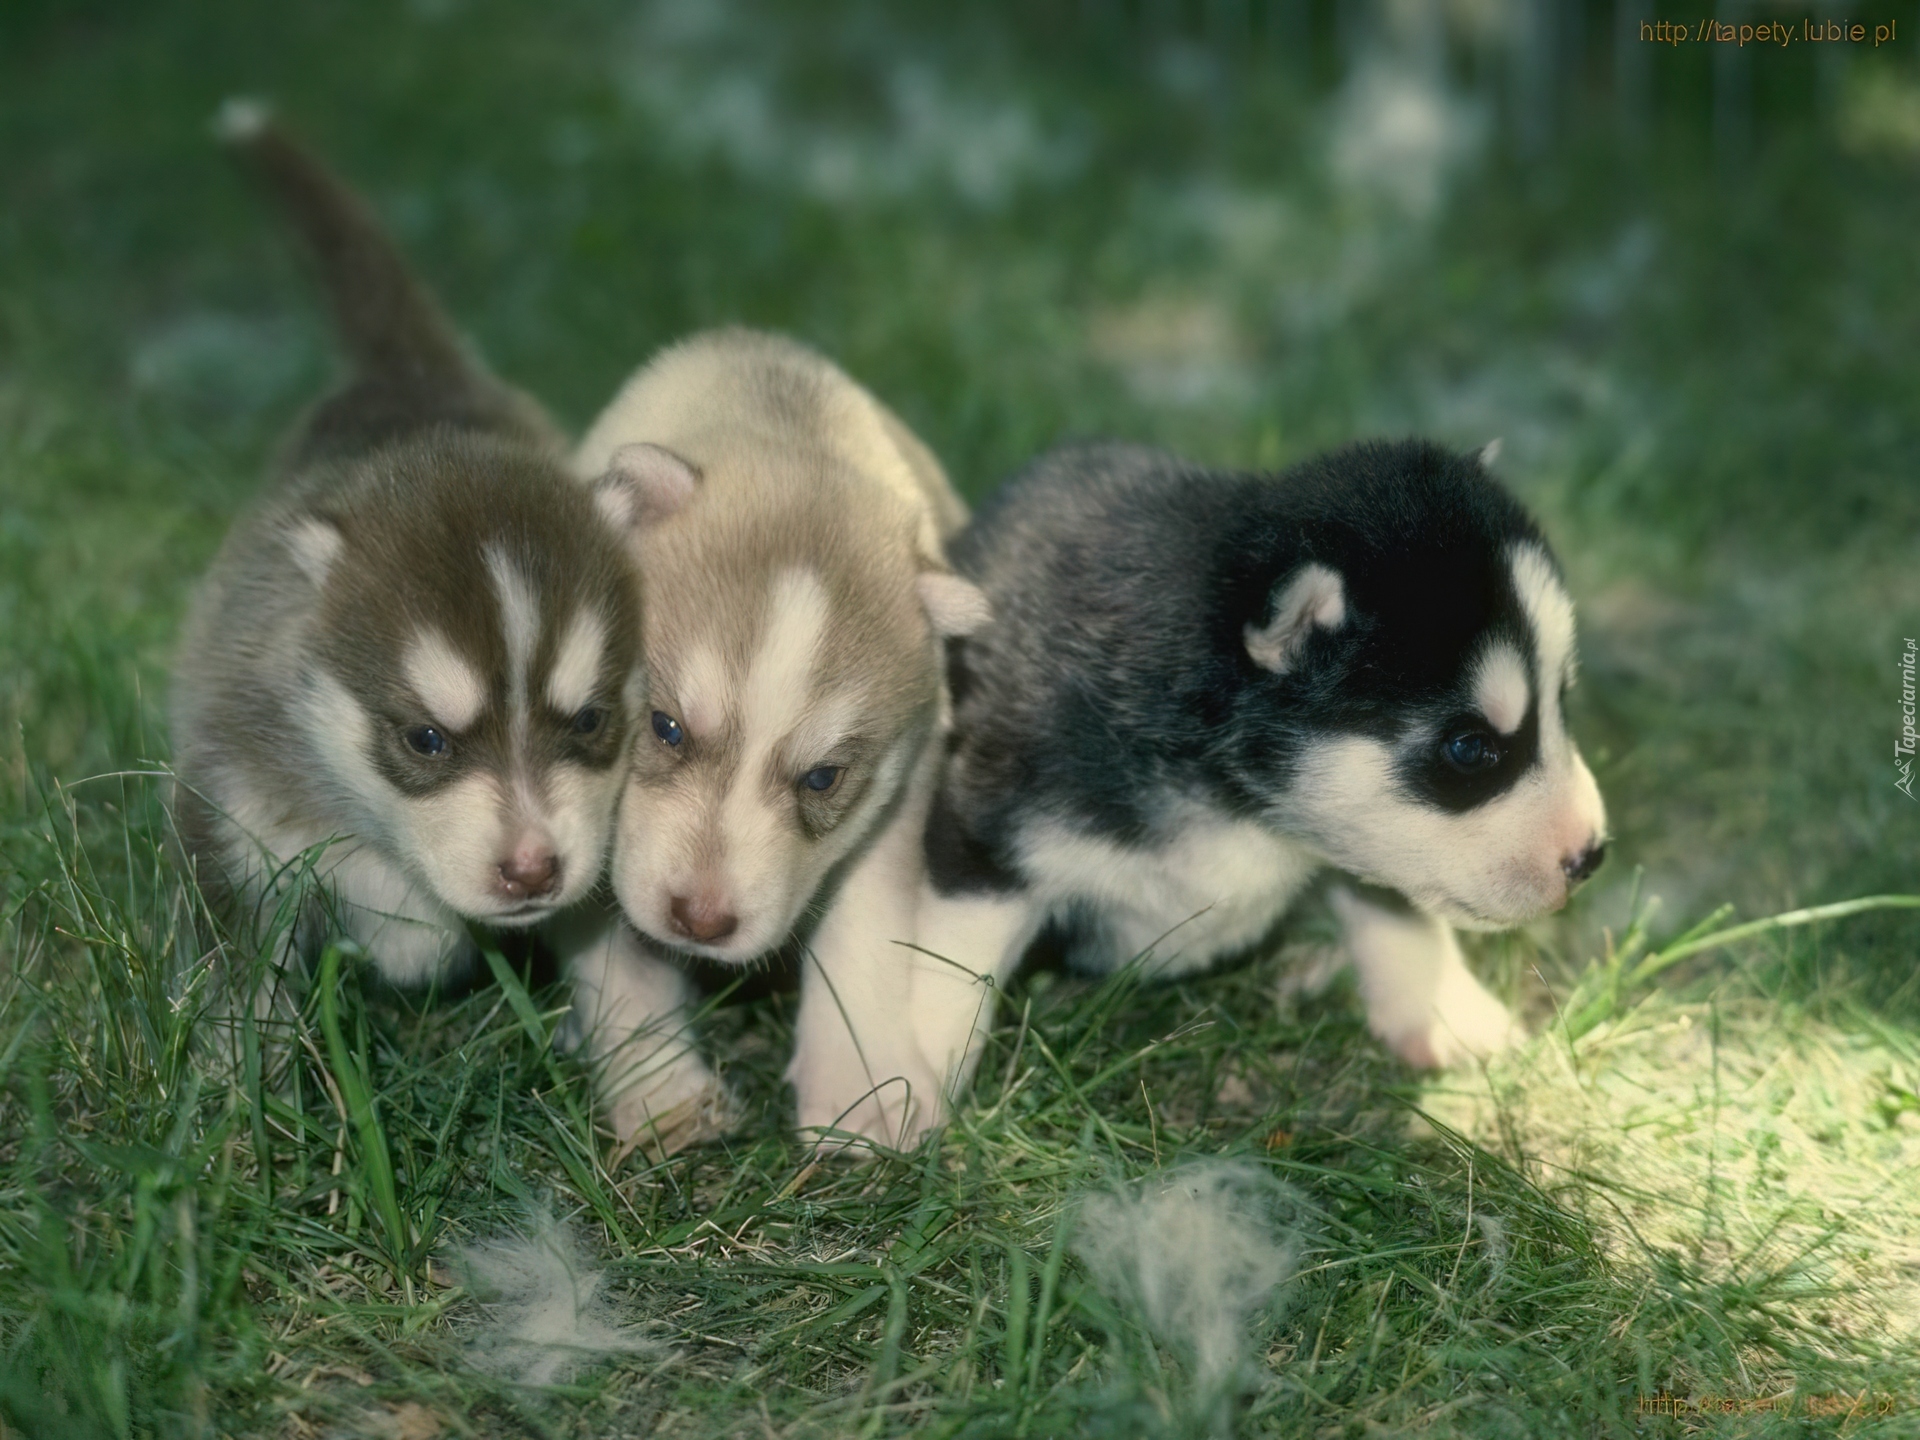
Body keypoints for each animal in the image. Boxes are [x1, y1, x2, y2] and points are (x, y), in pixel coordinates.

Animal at [174, 104, 652, 1006]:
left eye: (591, 720)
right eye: (426, 740)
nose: (533, 869)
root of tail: (411, 371)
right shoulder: (236, 831)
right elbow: (236, 1001)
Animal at [810, 439, 1605, 1152]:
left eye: (1565, 702)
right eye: (1469, 750)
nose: (1593, 856)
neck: (1235, 807)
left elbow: (1395, 904)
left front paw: (1442, 1010)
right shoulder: (988, 835)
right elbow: (952, 968)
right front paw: (905, 1083)